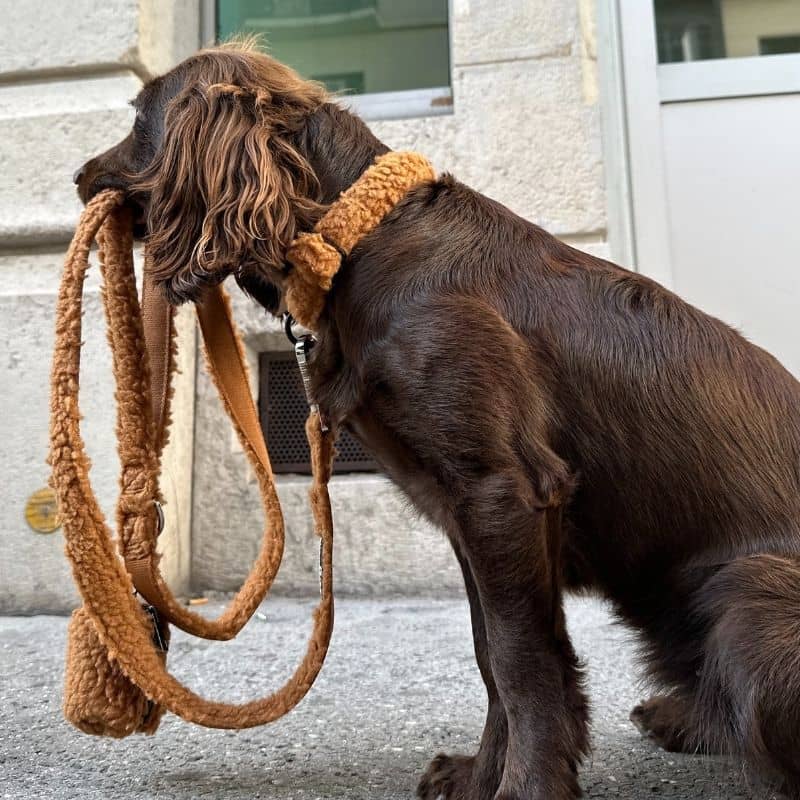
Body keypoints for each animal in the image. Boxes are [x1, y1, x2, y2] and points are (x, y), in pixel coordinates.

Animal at [75, 43, 800, 800]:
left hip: (749, 595)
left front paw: (528, 787)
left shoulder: (499, 492)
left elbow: (520, 659)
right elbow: (491, 656)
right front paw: (482, 774)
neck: (360, 244)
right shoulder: (466, 514)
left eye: (139, 120)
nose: (77, 179)